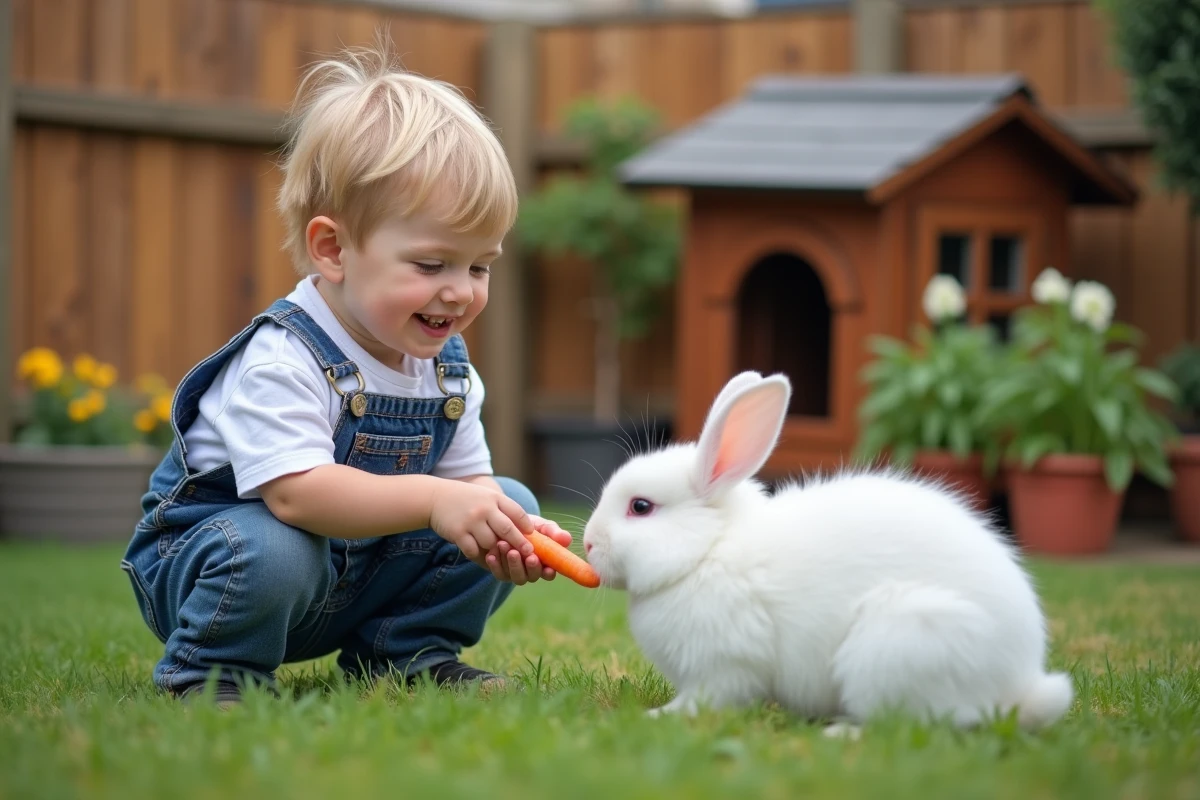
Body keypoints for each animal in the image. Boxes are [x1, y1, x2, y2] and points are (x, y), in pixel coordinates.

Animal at [582, 370, 1074, 733]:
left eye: (640, 507)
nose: (587, 542)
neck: (706, 551)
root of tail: (1018, 684)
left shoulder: (725, 665)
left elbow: (708, 699)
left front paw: (657, 716)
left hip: (899, 645)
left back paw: (842, 732)